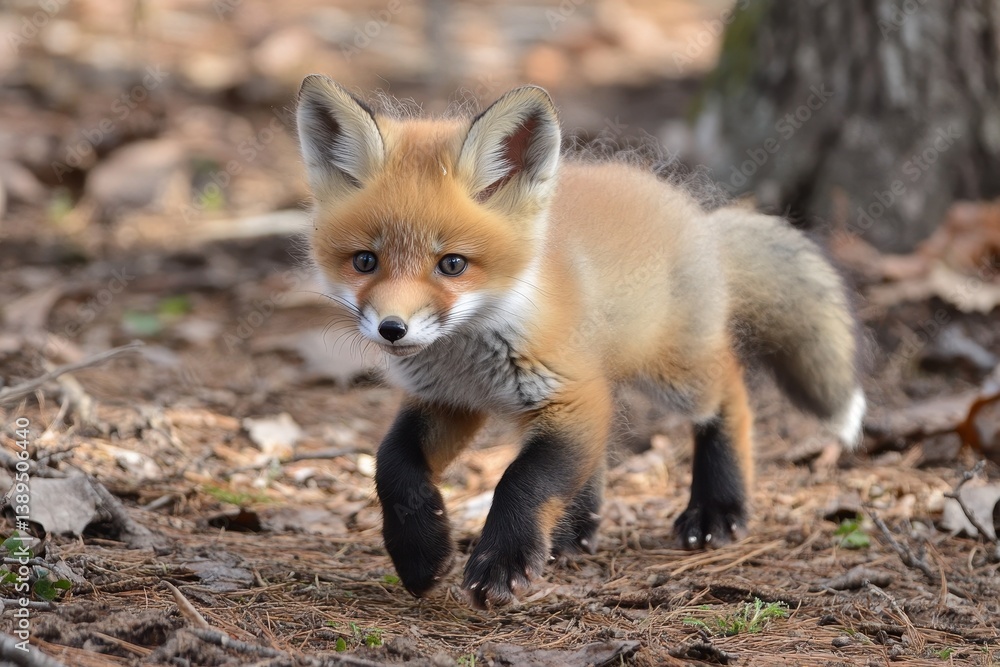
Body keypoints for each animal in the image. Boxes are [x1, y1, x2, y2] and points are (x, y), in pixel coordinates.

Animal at [295, 75, 867, 609]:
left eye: (452, 264)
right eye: (365, 261)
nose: (392, 329)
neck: (470, 358)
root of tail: (700, 221)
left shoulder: (567, 391)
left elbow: (522, 479)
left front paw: (502, 563)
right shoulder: (449, 401)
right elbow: (391, 463)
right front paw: (420, 553)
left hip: (673, 373)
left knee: (729, 389)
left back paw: (717, 508)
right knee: (601, 443)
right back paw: (574, 531)